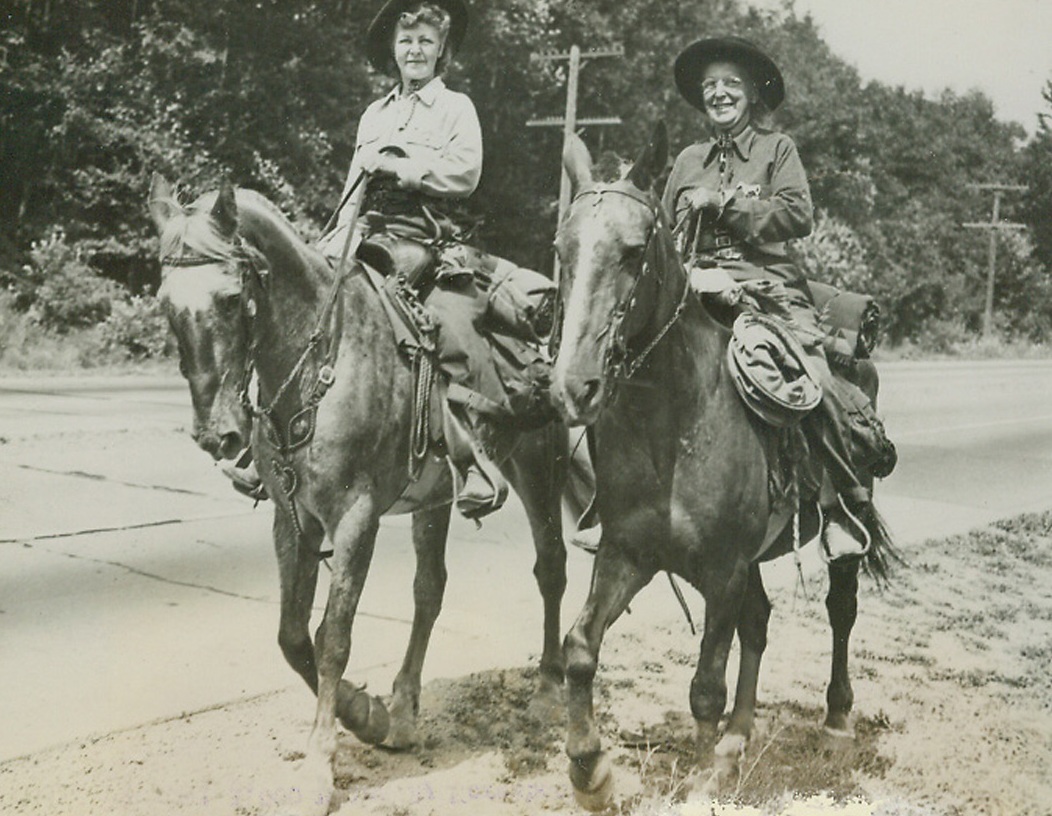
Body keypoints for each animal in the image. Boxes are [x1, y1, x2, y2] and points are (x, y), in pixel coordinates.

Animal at [148, 175, 572, 811]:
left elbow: (333, 639)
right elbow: (292, 636)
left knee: (551, 568)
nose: (216, 435)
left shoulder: (354, 518)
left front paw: (320, 767)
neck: (322, 361)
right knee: (430, 590)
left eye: (229, 298)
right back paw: (403, 711)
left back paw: (547, 688)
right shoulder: (293, 517)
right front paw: (366, 714)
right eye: (165, 303)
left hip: (536, 468)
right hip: (435, 500)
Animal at [551, 129, 896, 807]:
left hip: (837, 527)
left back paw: (836, 723)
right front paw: (590, 770)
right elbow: (580, 647)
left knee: (839, 611)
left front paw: (703, 777)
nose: (574, 387)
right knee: (758, 624)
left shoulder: (723, 568)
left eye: (633, 252)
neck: (673, 424)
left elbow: (706, 682)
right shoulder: (629, 554)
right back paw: (737, 738)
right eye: (562, 248)